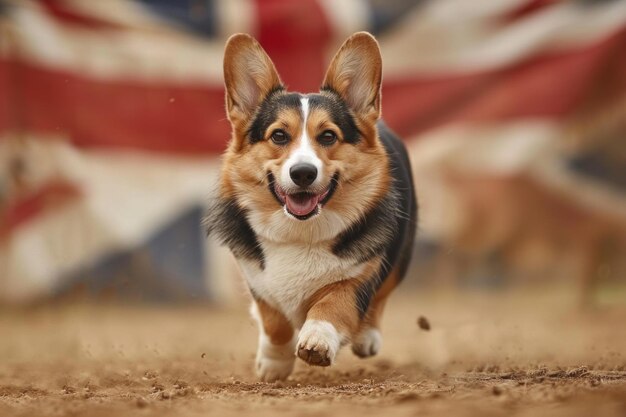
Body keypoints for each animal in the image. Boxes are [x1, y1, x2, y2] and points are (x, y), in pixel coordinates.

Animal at [205, 30, 416, 378]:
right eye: (278, 136)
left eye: (328, 136)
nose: (303, 172)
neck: (300, 232)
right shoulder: (257, 280)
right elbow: (274, 321)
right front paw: (274, 362)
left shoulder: (361, 274)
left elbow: (333, 302)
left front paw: (317, 338)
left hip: (401, 254)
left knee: (382, 295)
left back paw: (367, 337)